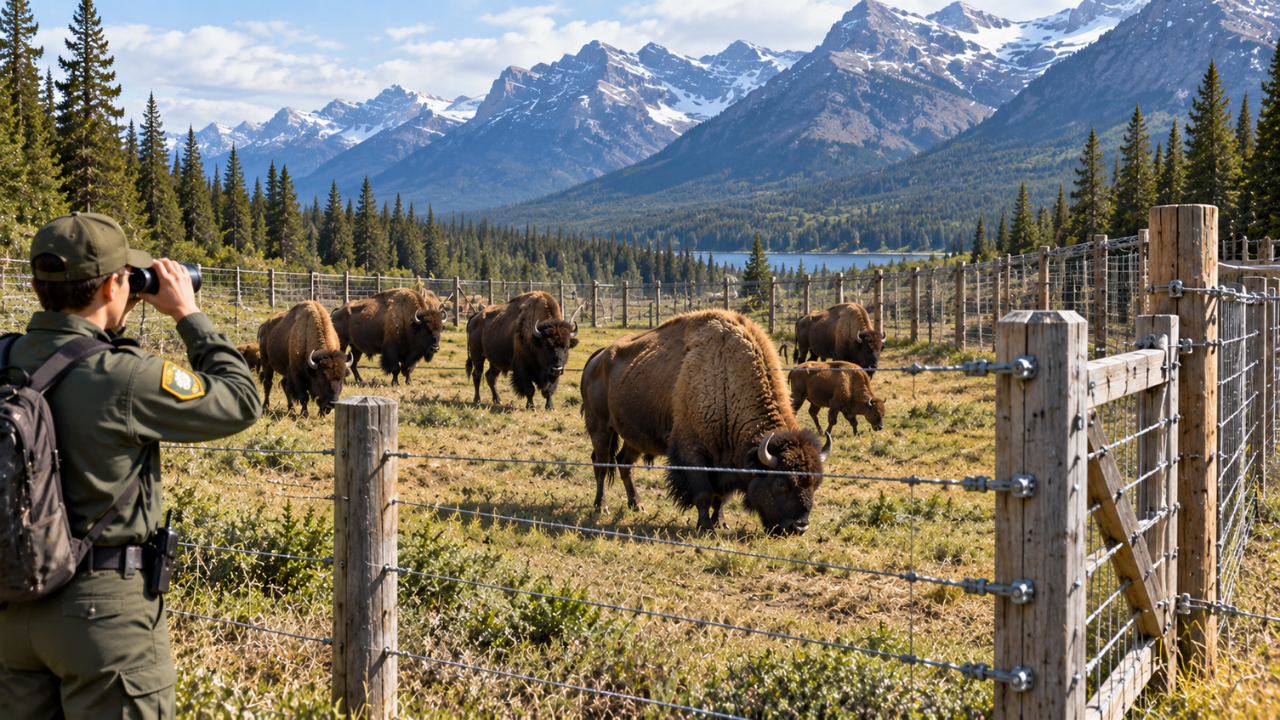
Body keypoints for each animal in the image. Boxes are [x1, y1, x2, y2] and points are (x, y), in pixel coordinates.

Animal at [581, 309, 831, 534]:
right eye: (780, 483)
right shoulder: (693, 451)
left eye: (816, 484)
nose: (798, 527)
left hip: (635, 435)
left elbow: (721, 497)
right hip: (600, 427)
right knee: (601, 464)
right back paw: (601, 507)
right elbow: (704, 493)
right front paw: (706, 526)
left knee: (625, 464)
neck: (727, 380)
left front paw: (721, 522)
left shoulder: (729, 459)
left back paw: (638, 506)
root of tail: (598, 358)